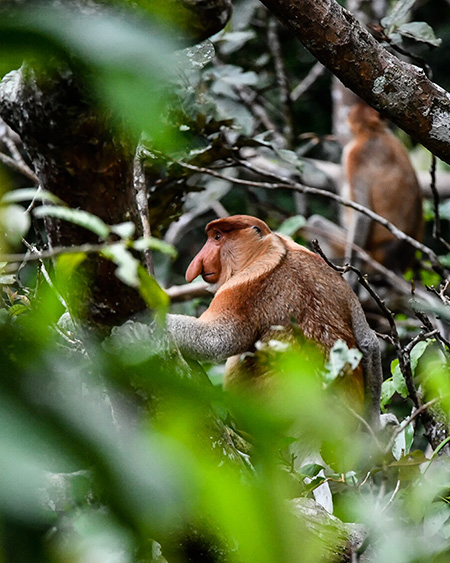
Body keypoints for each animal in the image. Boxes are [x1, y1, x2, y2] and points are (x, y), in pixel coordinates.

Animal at [167, 216, 382, 428]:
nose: (197, 263)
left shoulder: (241, 286)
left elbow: (217, 339)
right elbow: (368, 342)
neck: (274, 251)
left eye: (217, 237)